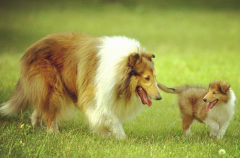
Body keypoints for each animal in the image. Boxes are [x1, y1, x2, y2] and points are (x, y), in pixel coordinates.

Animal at [0, 32, 161, 139]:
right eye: (146, 78)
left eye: (155, 77)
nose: (159, 97)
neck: (119, 69)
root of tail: (29, 50)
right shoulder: (93, 96)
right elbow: (109, 117)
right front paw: (121, 138)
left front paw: (107, 135)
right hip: (52, 87)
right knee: (49, 112)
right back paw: (54, 133)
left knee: (40, 108)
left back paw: (39, 128)